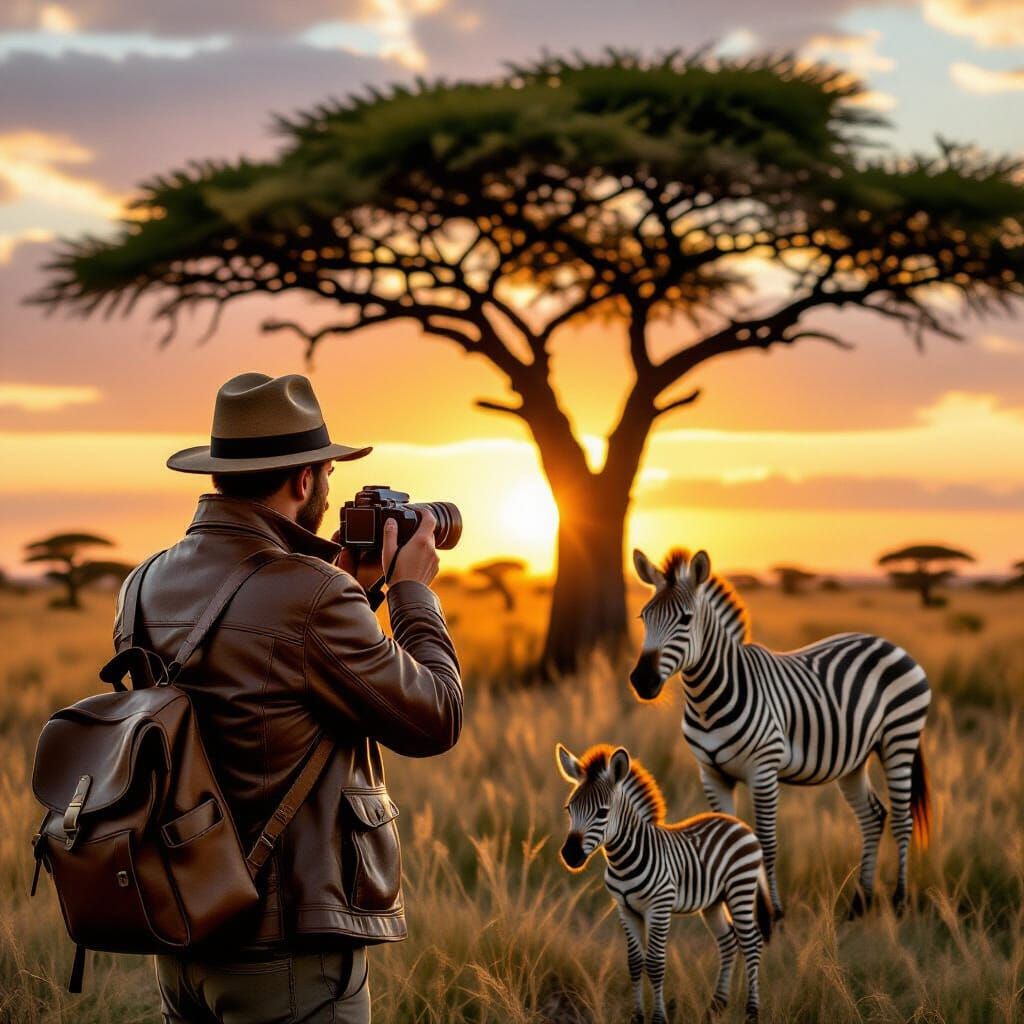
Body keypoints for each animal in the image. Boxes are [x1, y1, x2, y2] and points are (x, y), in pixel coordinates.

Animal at [556, 742, 772, 1024]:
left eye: (602, 812)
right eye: (569, 809)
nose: (570, 855)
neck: (624, 860)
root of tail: (740, 825)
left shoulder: (658, 907)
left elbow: (655, 964)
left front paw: (658, 1018)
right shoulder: (625, 909)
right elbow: (635, 963)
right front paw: (637, 1017)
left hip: (740, 890)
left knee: (751, 942)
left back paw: (752, 1013)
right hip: (713, 901)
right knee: (728, 941)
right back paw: (714, 1007)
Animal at [629, 546, 932, 920]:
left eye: (685, 620)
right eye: (643, 616)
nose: (642, 681)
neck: (707, 701)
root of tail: (888, 643)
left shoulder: (764, 771)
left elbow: (767, 843)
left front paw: (773, 913)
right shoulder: (711, 774)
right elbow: (724, 836)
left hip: (899, 740)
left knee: (903, 819)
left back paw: (900, 903)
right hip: (854, 759)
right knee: (873, 816)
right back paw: (859, 905)